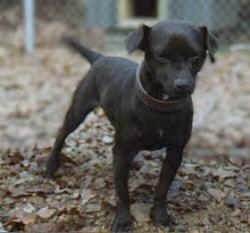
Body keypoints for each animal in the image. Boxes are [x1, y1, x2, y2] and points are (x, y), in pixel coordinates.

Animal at [46, 20, 217, 232]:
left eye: (196, 57)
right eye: (161, 56)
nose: (183, 85)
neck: (161, 106)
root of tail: (100, 58)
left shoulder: (175, 152)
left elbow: (162, 187)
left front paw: (160, 215)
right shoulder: (122, 151)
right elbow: (122, 191)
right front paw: (123, 220)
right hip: (78, 111)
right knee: (61, 134)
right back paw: (51, 165)